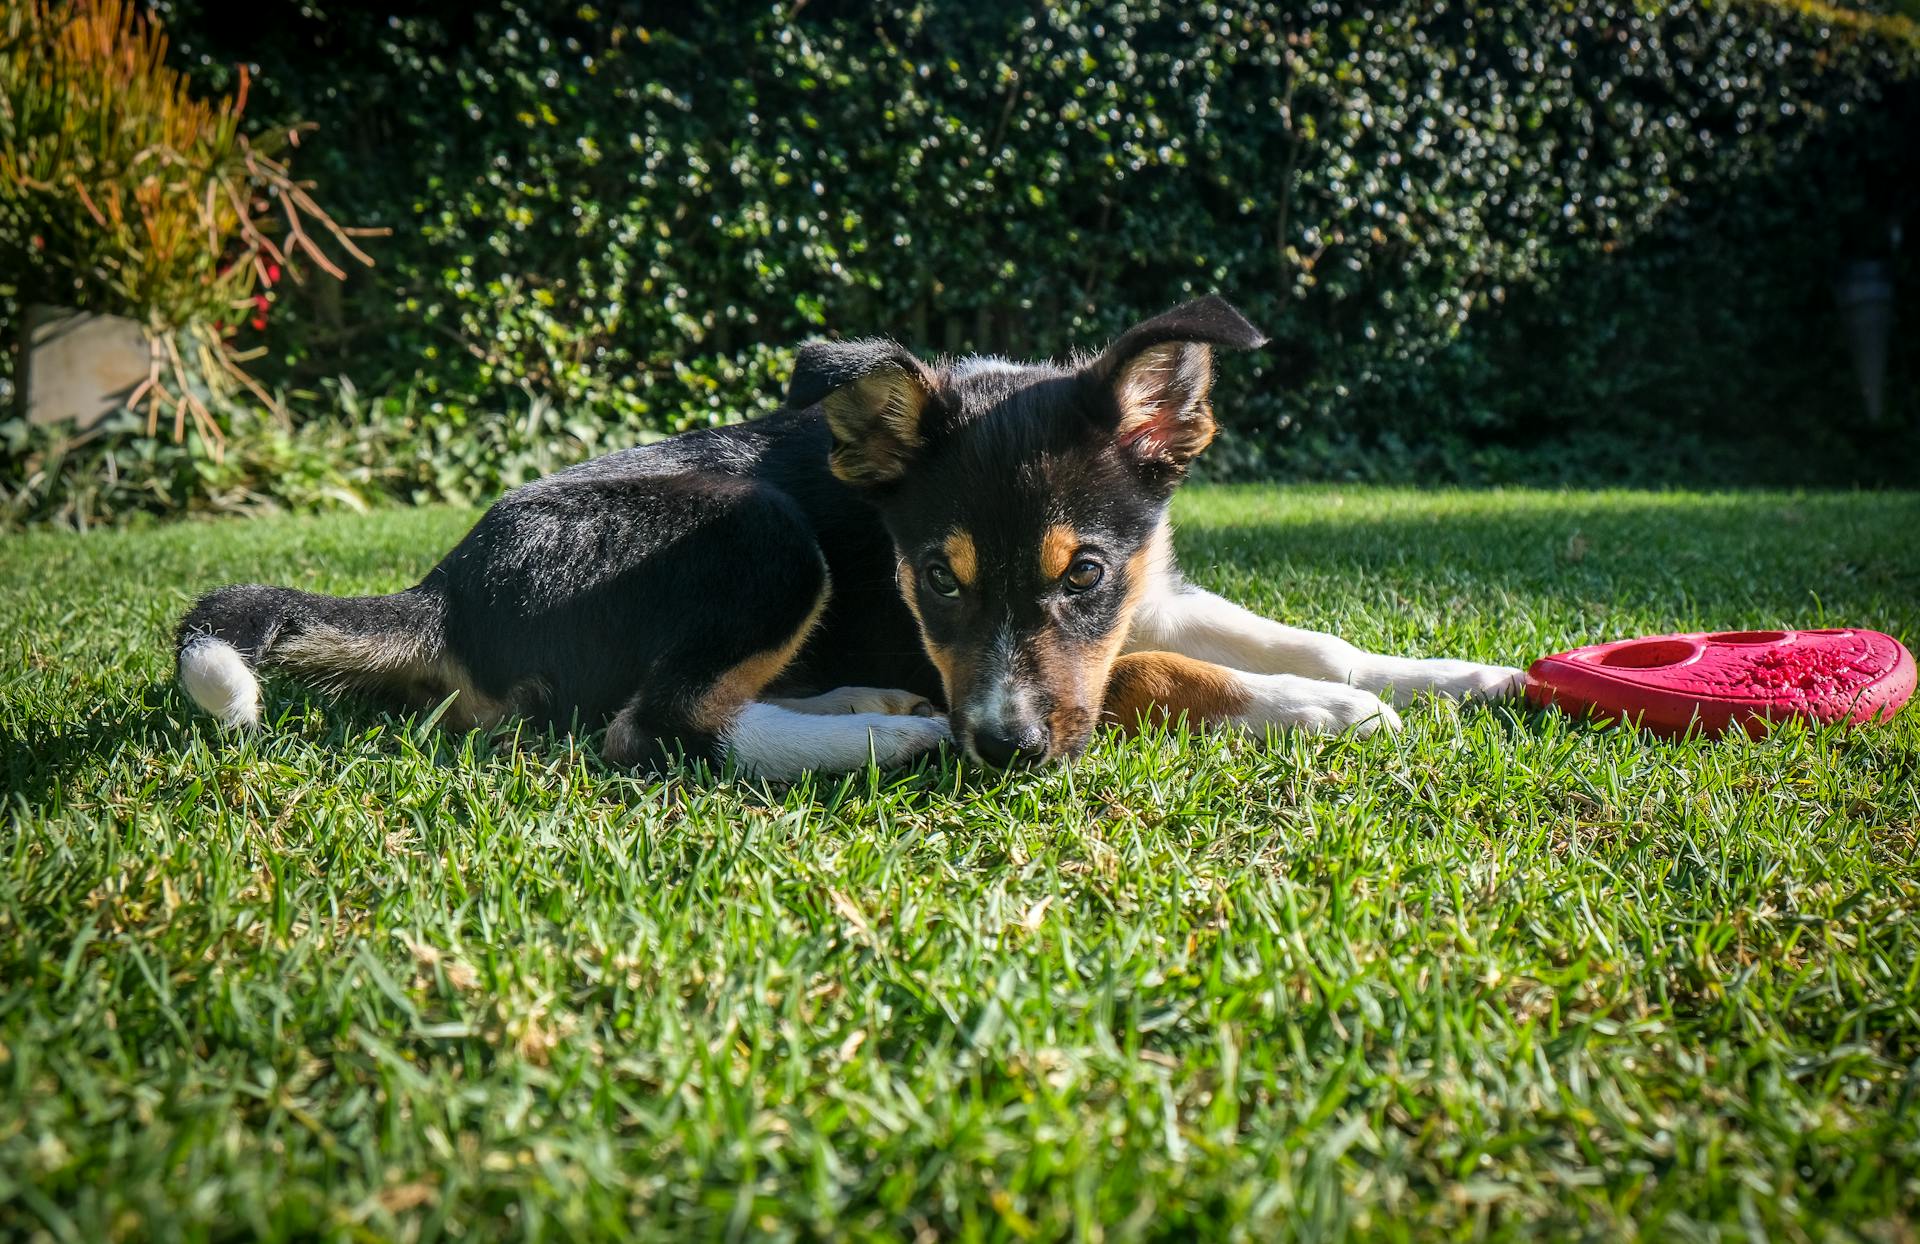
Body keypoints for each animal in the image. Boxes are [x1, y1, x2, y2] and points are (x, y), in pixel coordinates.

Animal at [183, 295, 1528, 771]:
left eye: (1083, 569)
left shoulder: (1151, 581)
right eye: (935, 577)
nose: (1005, 752)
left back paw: (866, 705)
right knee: (659, 726)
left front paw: (1464, 675)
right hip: (759, 533)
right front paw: (1316, 711)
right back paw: (889, 730)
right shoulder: (1086, 649)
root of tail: (444, 588)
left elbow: (1309, 633)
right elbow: (1150, 671)